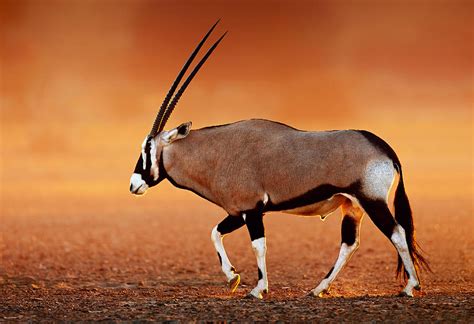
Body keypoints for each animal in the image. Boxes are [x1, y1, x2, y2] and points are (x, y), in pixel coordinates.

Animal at [130, 20, 430, 298]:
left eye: (147, 147)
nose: (134, 185)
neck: (216, 152)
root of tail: (384, 148)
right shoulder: (237, 212)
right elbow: (215, 232)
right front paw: (233, 277)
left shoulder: (251, 210)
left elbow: (258, 244)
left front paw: (257, 288)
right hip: (352, 206)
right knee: (350, 243)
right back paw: (318, 289)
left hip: (372, 200)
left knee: (397, 233)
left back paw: (410, 286)